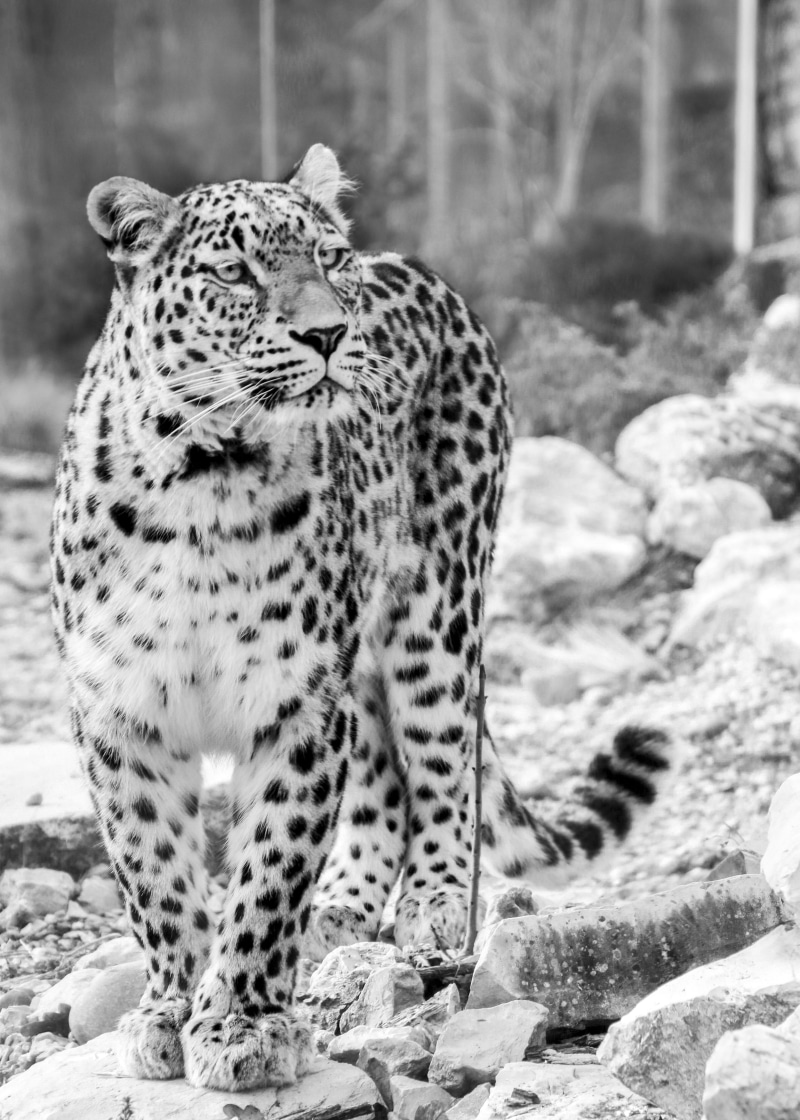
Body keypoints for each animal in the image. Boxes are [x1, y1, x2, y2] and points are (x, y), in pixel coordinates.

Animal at [50, 144, 671, 1092]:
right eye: (234, 272)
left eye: (327, 259)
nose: (329, 335)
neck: (199, 476)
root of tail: (420, 268)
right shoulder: (119, 712)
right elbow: (155, 878)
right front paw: (166, 1011)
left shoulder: (298, 704)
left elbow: (269, 871)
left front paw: (243, 1027)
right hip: (366, 651)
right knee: (382, 776)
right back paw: (341, 911)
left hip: (437, 614)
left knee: (441, 768)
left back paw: (435, 906)